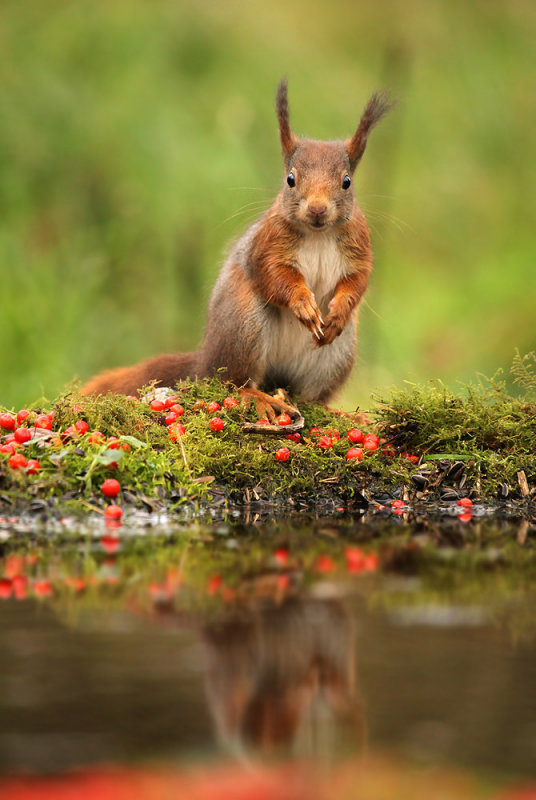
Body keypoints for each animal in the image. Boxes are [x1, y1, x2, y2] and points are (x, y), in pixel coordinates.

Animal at [81, 81, 392, 418]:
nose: (318, 209)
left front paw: (340, 310)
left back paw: (339, 412)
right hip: (244, 326)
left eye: (347, 182)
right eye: (290, 179)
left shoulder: (359, 248)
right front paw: (303, 303)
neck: (318, 233)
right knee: (232, 381)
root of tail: (204, 360)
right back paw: (256, 397)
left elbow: (358, 281)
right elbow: (275, 276)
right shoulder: (267, 246)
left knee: (310, 398)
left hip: (337, 354)